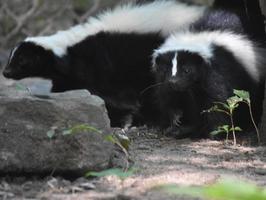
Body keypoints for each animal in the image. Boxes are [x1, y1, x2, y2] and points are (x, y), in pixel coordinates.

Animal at [1, 0, 206, 127]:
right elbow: (65, 89)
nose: (5, 72)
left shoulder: (99, 65)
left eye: (22, 61)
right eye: (11, 57)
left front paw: (120, 120)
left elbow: (107, 97)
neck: (68, 48)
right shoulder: (70, 76)